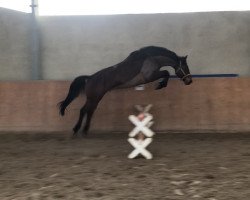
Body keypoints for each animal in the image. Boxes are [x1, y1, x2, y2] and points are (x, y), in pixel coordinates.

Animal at [59, 45, 192, 136]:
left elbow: (166, 73)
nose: (189, 81)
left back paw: (85, 130)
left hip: (96, 98)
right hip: (94, 97)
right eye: (185, 67)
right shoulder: (149, 76)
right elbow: (166, 72)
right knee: (84, 110)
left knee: (89, 111)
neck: (150, 59)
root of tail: (90, 78)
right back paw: (76, 129)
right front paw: (161, 85)